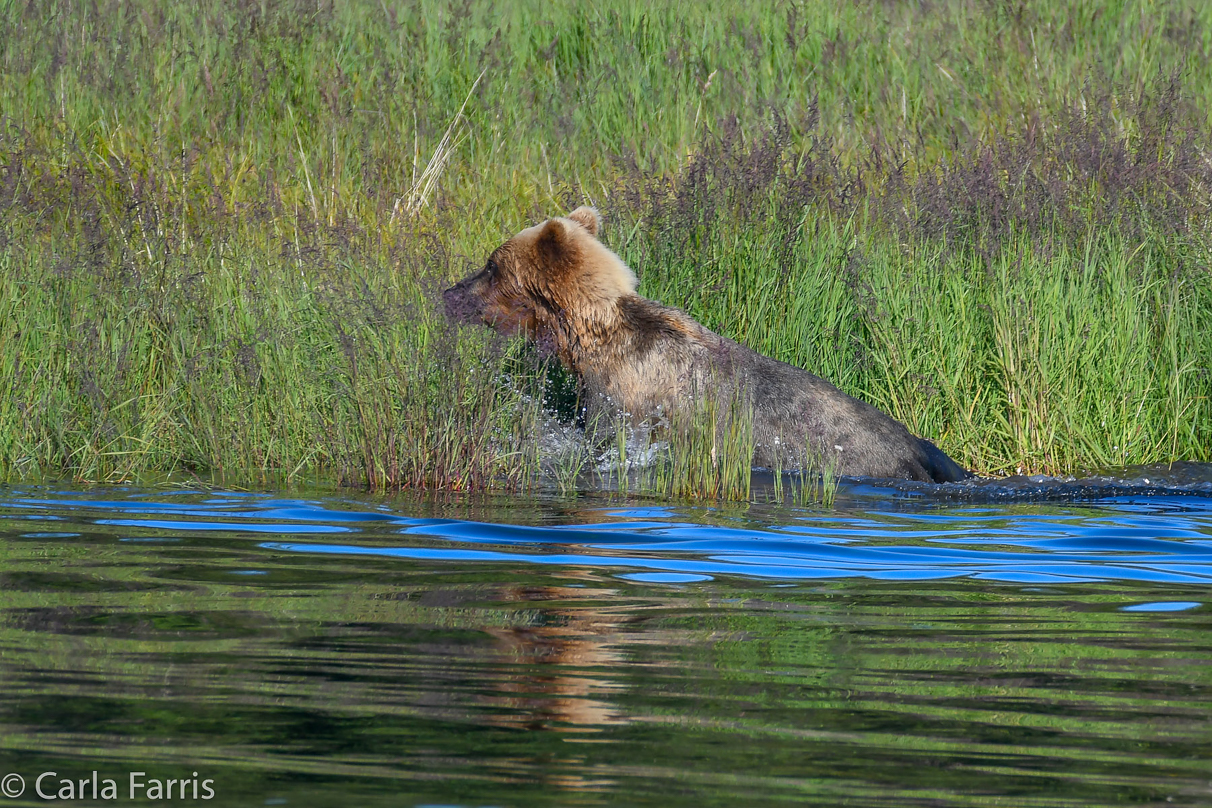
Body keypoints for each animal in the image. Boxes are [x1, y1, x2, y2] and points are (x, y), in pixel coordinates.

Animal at [441, 210, 969, 486]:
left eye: (491, 266)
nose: (449, 293)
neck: (589, 338)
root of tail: (920, 448)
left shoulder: (631, 396)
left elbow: (604, 444)